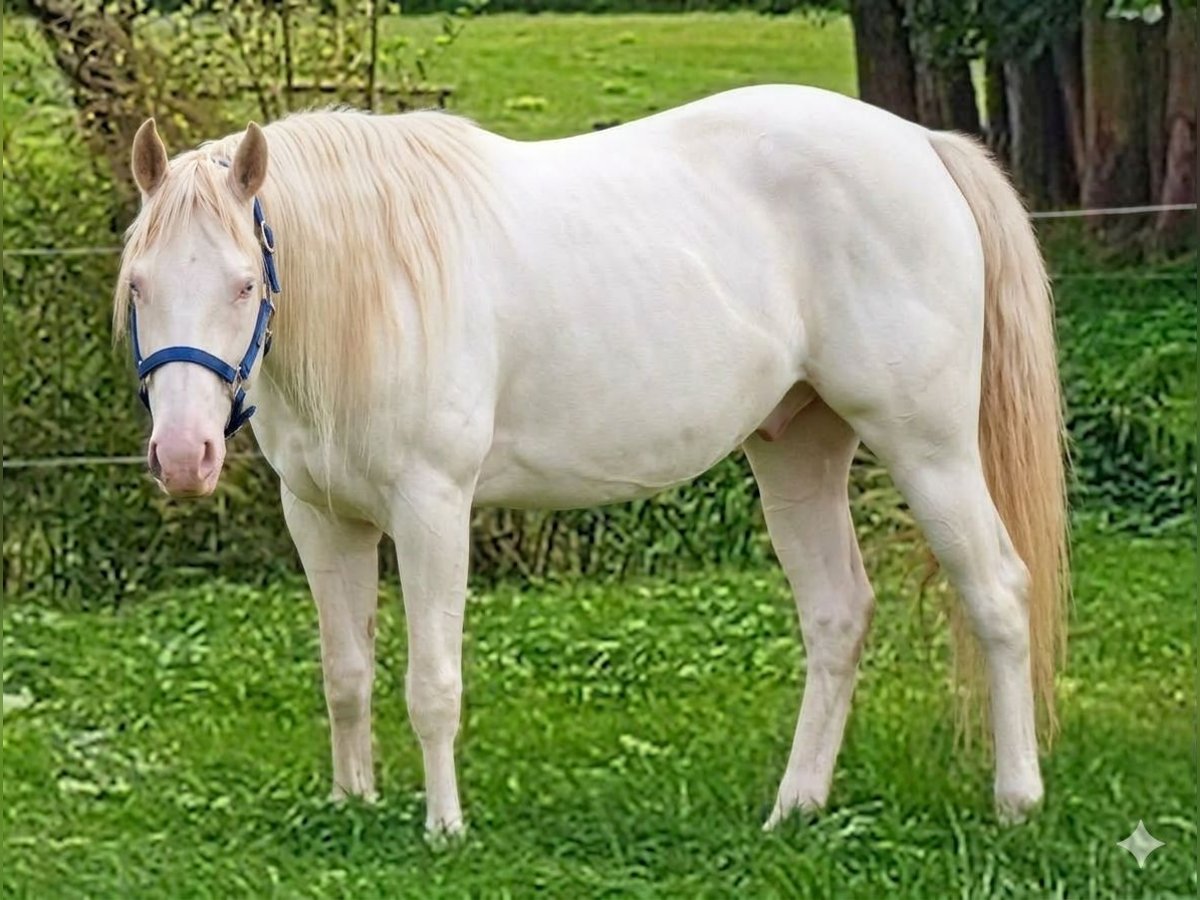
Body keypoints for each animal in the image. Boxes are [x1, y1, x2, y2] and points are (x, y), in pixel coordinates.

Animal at [115, 84, 1067, 836]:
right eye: (138, 284)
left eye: (243, 282)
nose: (185, 455)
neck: (381, 285)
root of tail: (922, 146)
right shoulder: (320, 518)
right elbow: (344, 673)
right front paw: (354, 806)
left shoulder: (432, 508)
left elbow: (432, 683)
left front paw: (444, 829)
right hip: (798, 450)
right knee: (837, 615)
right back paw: (795, 807)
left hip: (929, 447)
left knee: (998, 591)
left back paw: (1017, 799)